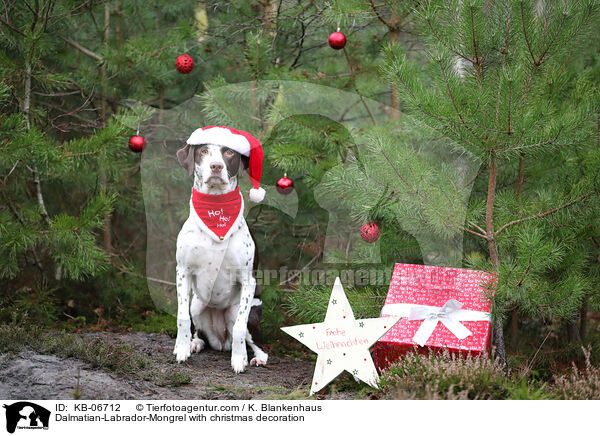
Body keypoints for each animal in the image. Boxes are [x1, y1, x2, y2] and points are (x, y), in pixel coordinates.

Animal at [173, 124, 268, 372]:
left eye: (229, 152)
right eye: (204, 151)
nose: (216, 166)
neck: (215, 211)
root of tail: (221, 341)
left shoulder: (247, 280)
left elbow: (239, 327)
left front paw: (239, 359)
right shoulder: (182, 272)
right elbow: (182, 318)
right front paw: (182, 348)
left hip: (247, 310)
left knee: (250, 338)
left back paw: (256, 356)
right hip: (197, 305)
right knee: (197, 328)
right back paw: (195, 343)